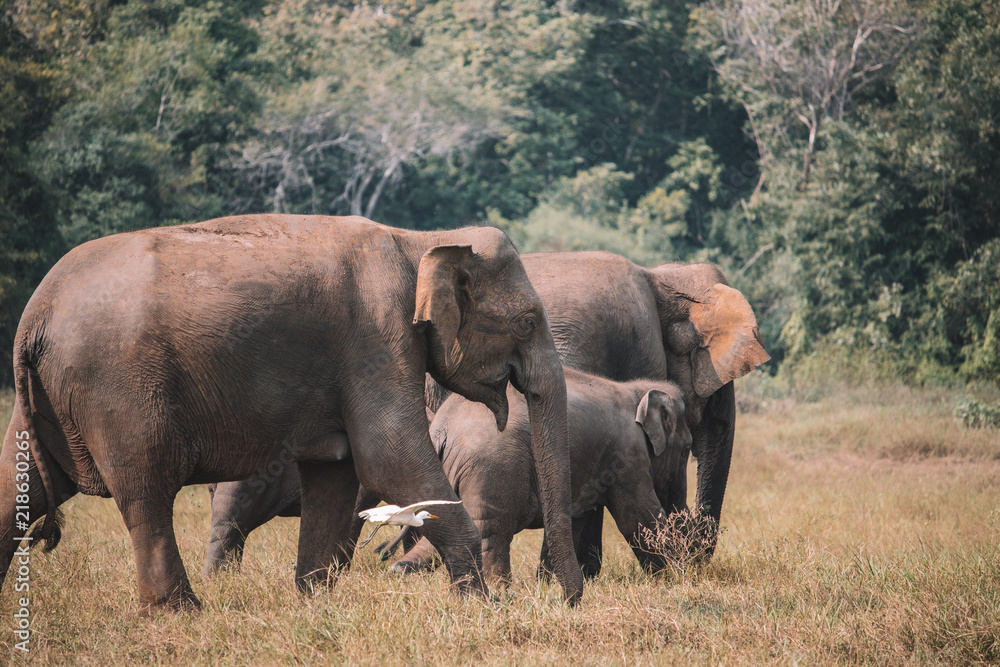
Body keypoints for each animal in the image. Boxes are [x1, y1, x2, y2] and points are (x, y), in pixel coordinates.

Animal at [0, 215, 584, 612]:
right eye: (529, 320)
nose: (567, 599)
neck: (420, 240)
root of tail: (34, 315)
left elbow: (337, 472)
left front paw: (314, 601)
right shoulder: (379, 338)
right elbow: (389, 459)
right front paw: (484, 607)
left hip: (55, 398)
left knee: (24, 484)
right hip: (118, 388)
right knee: (147, 491)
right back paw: (179, 613)